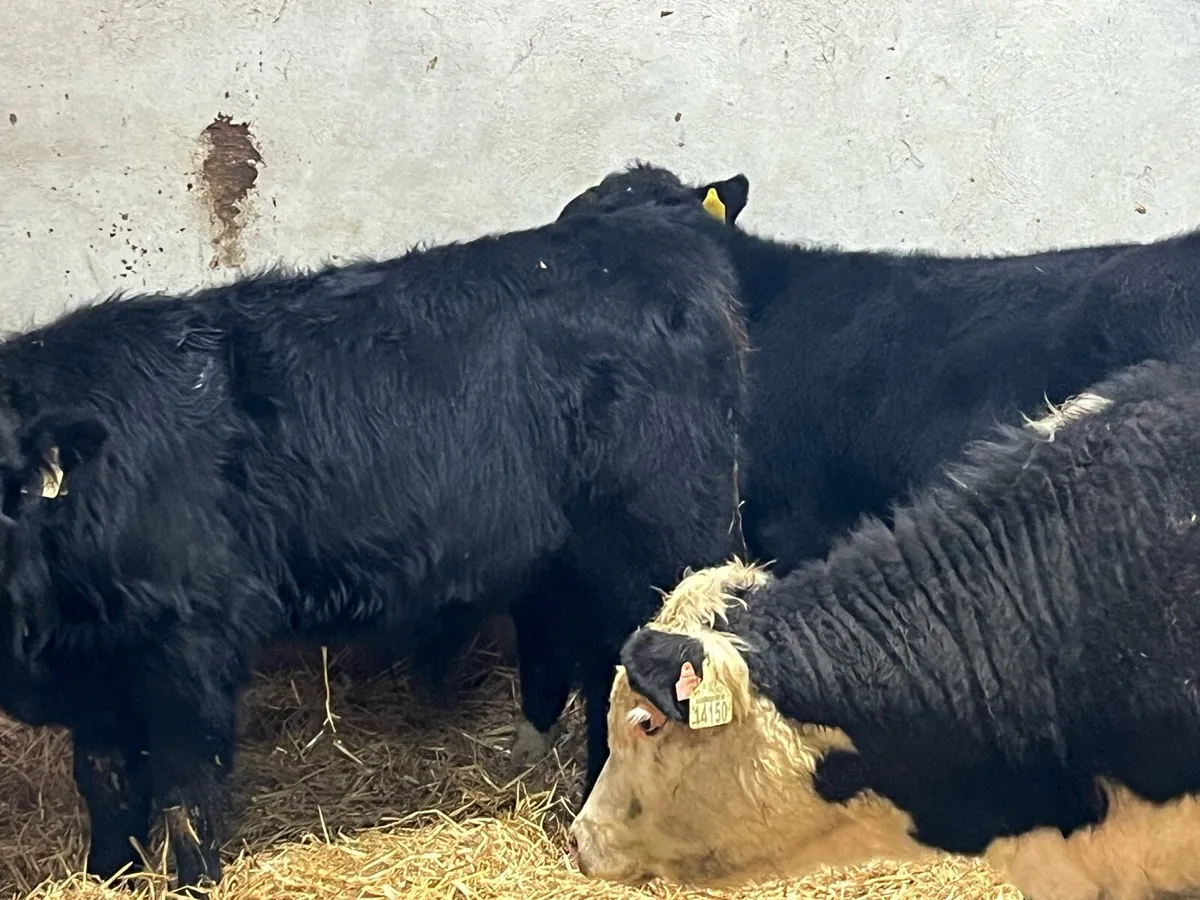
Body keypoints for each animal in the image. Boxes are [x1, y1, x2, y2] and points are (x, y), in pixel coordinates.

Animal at [0, 199, 748, 891]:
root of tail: (649, 233)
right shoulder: (98, 672)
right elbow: (106, 783)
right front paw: (105, 875)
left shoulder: (190, 646)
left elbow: (187, 793)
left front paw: (192, 883)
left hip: (654, 549)